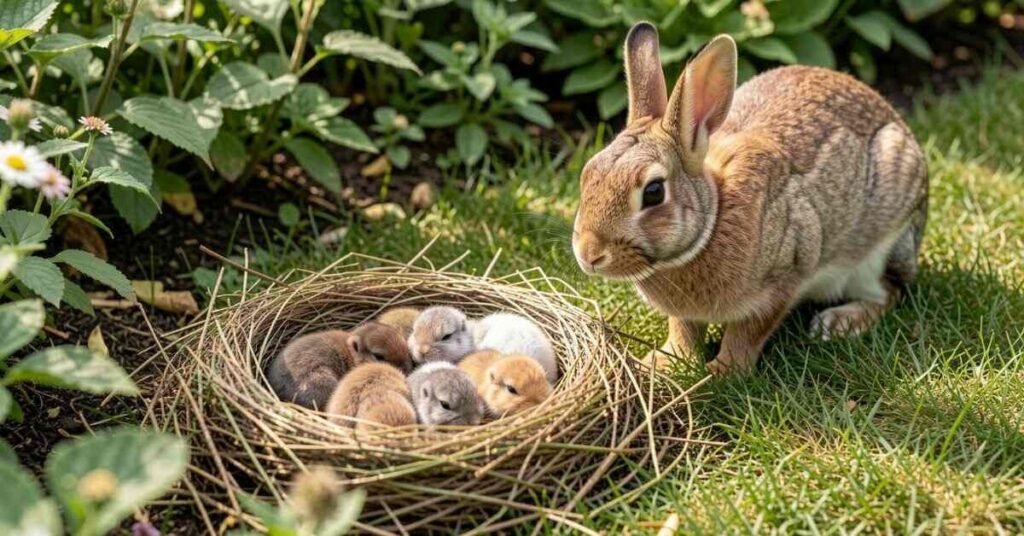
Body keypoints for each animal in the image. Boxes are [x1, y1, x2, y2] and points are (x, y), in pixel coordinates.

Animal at [571, 23, 928, 375]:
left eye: (654, 192)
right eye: (587, 174)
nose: (589, 255)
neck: (712, 220)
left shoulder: (784, 277)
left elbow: (746, 334)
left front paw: (723, 372)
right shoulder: (686, 313)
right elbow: (683, 330)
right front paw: (663, 362)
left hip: (881, 248)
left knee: (890, 292)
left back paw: (838, 323)